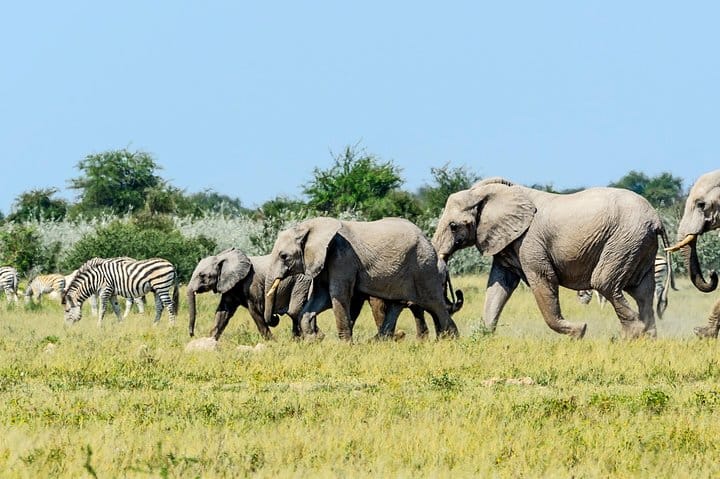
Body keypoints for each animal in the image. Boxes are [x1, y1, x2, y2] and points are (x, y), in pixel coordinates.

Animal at [265, 217, 461, 341]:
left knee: (435, 304)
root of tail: (427, 239)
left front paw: (345, 346)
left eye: (283, 256)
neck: (309, 227)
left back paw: (450, 341)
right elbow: (319, 298)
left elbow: (338, 295)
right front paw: (313, 340)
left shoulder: (342, 258)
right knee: (400, 304)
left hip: (423, 268)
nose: (274, 317)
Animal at [432, 177, 670, 339]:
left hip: (625, 240)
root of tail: (657, 219)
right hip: (638, 244)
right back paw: (647, 337)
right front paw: (483, 337)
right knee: (642, 291)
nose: (455, 292)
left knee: (605, 283)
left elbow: (543, 281)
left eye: (453, 226)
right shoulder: (508, 243)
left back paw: (630, 336)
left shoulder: (529, 242)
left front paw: (579, 332)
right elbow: (499, 285)